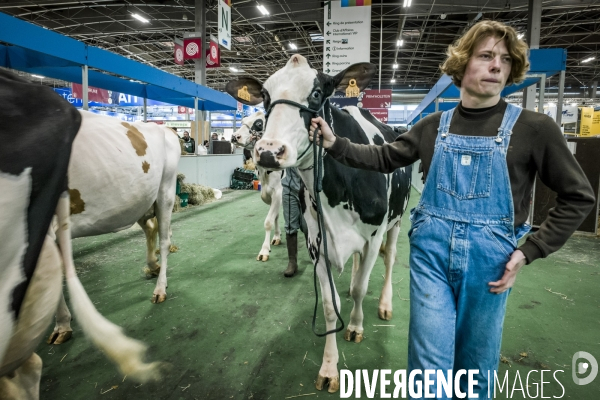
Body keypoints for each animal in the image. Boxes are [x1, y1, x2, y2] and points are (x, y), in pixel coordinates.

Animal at [47, 109, 180, 344]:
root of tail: (165, 127)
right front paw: (61, 325)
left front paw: (62, 324)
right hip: (140, 198)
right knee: (149, 228)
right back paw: (152, 266)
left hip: (165, 191)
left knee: (164, 240)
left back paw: (160, 287)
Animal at [226, 54, 412, 392]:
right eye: (266, 97)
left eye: (316, 93)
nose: (268, 151)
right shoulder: (317, 243)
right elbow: (329, 304)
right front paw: (328, 368)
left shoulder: (374, 235)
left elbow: (361, 288)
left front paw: (355, 326)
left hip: (396, 222)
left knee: (389, 259)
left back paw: (385, 304)